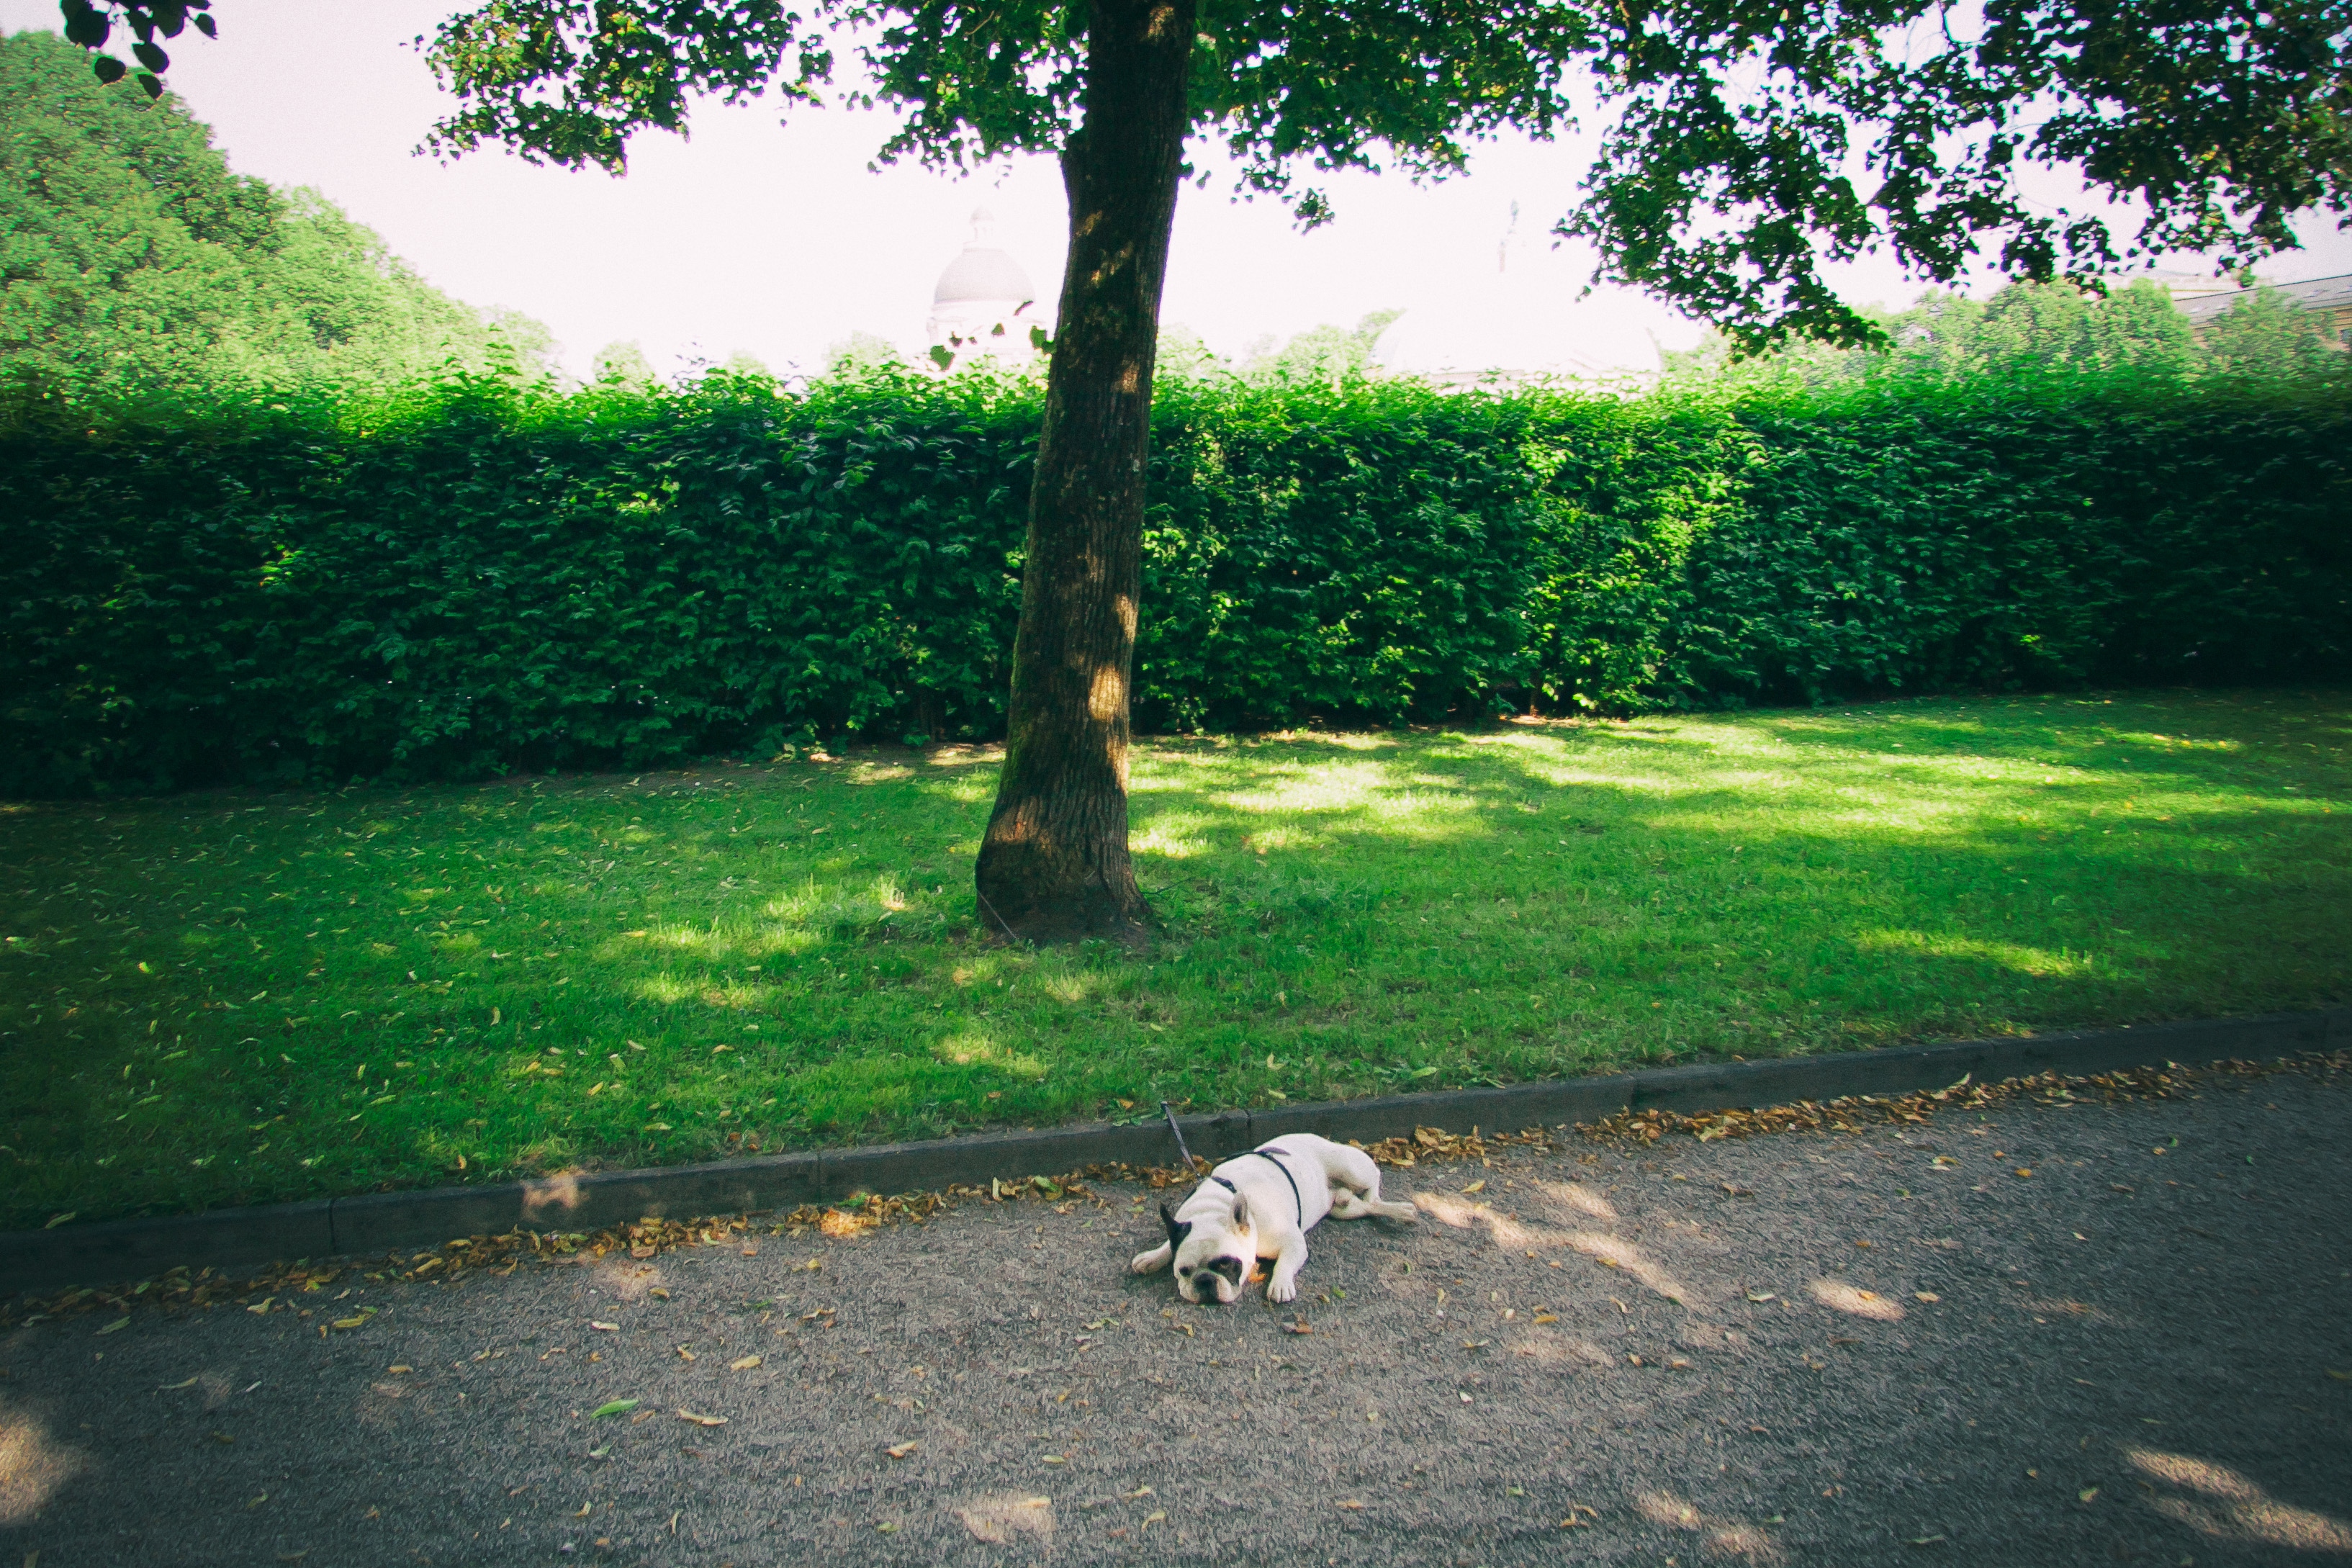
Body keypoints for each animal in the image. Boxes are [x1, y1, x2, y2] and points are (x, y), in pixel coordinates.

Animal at [1133, 1132, 1411, 1307]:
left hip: (1351, 1169)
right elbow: (1170, 1243)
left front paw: (1280, 1285)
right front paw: (1152, 1256)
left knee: (1374, 1186)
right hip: (1342, 1210)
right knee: (1365, 1206)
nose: (1203, 1280)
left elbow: (1284, 1264)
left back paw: (1404, 1210)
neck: (1215, 1208)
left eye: (1226, 1264)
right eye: (1184, 1271)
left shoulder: (1292, 1242)